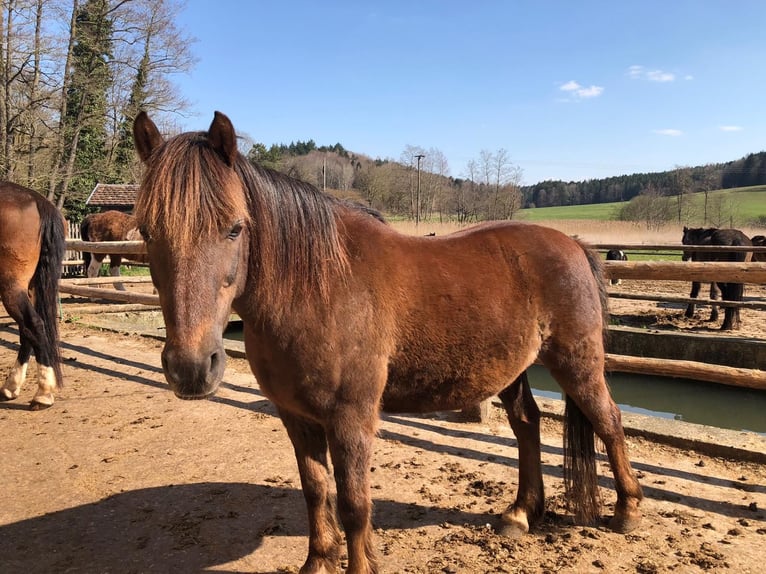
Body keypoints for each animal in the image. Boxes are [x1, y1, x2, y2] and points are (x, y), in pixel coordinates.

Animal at [0, 181, 65, 409]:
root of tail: (36, 200)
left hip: (12, 287)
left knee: (33, 325)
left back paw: (43, 393)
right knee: (27, 330)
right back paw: (11, 386)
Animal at [132, 111, 643, 574]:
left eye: (235, 227)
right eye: (146, 231)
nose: (192, 367)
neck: (317, 288)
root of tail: (574, 244)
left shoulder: (351, 418)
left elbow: (354, 505)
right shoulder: (296, 417)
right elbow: (315, 491)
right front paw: (317, 562)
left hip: (577, 362)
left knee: (609, 421)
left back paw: (627, 511)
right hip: (513, 369)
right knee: (527, 424)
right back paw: (521, 514)